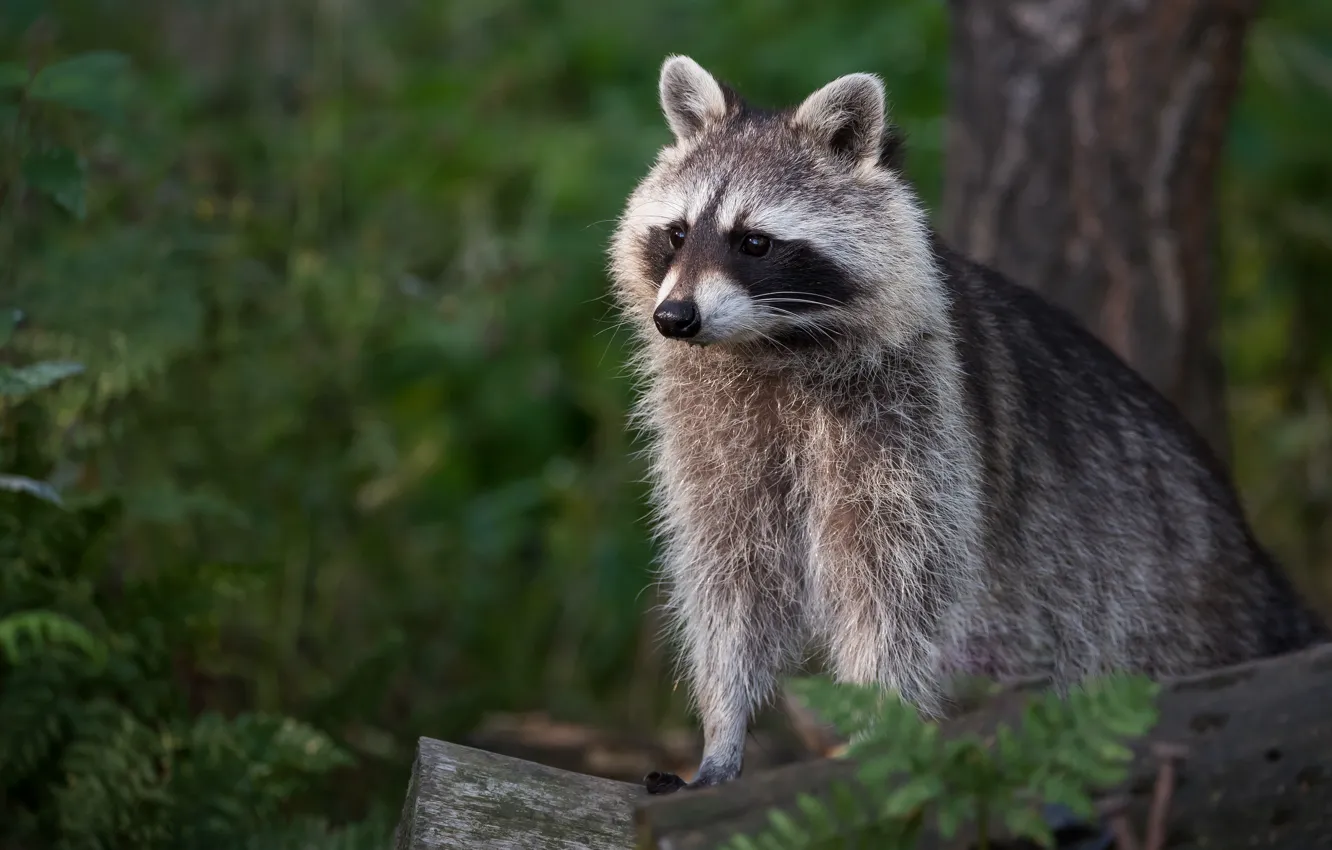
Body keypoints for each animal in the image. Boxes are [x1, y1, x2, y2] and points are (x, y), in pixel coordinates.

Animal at [608, 55, 1327, 794]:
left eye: (754, 243)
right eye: (677, 233)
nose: (675, 318)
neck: (772, 346)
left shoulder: (920, 419)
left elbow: (898, 588)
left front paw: (878, 731)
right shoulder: (715, 429)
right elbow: (731, 579)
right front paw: (723, 730)